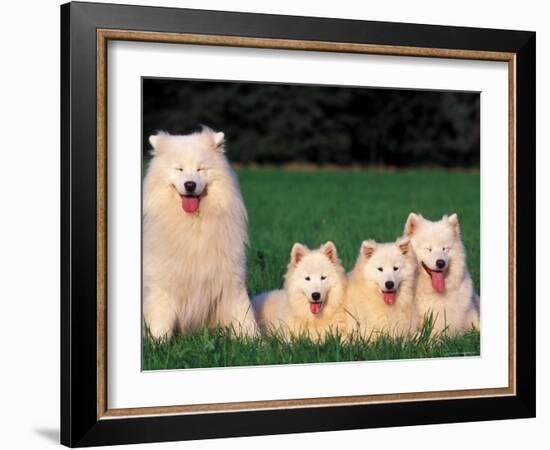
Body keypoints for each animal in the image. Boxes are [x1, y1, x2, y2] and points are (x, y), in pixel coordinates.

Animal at [144, 126, 260, 338]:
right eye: (179, 169)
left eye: (201, 169)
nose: (190, 184)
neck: (194, 225)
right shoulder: (162, 284)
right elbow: (160, 319)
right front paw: (158, 341)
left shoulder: (230, 280)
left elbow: (243, 315)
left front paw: (254, 340)